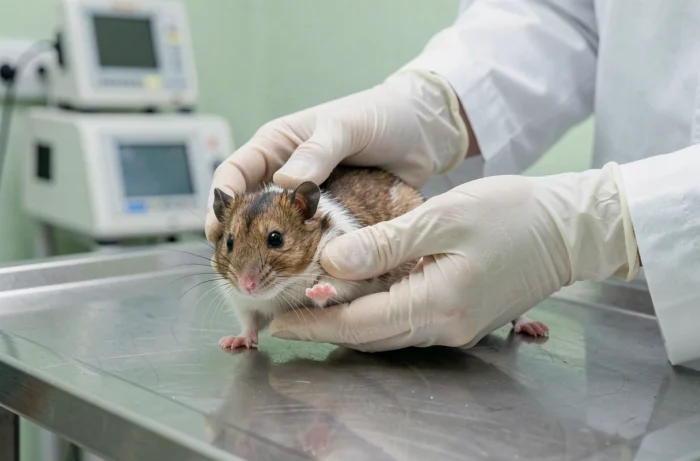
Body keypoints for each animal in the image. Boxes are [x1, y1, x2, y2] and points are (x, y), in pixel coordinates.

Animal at [211, 166, 548, 349]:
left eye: (276, 239)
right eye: (229, 241)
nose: (247, 285)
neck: (280, 292)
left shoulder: (350, 268)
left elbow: (337, 286)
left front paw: (318, 289)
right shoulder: (242, 302)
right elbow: (250, 322)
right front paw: (234, 341)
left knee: (516, 309)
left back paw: (531, 325)